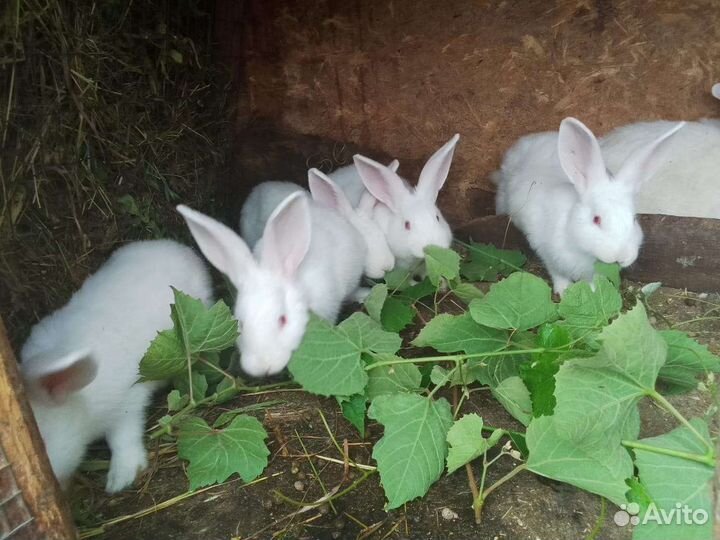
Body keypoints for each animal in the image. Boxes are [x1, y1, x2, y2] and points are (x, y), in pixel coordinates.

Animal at [20, 240, 213, 493]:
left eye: (44, 442)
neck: (79, 399)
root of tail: (178, 248)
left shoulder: (127, 402)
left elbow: (122, 437)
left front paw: (121, 478)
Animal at [494, 117, 684, 296]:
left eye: (634, 219)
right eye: (596, 219)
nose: (620, 256)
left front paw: (593, 292)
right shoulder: (547, 252)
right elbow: (557, 274)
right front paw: (563, 291)